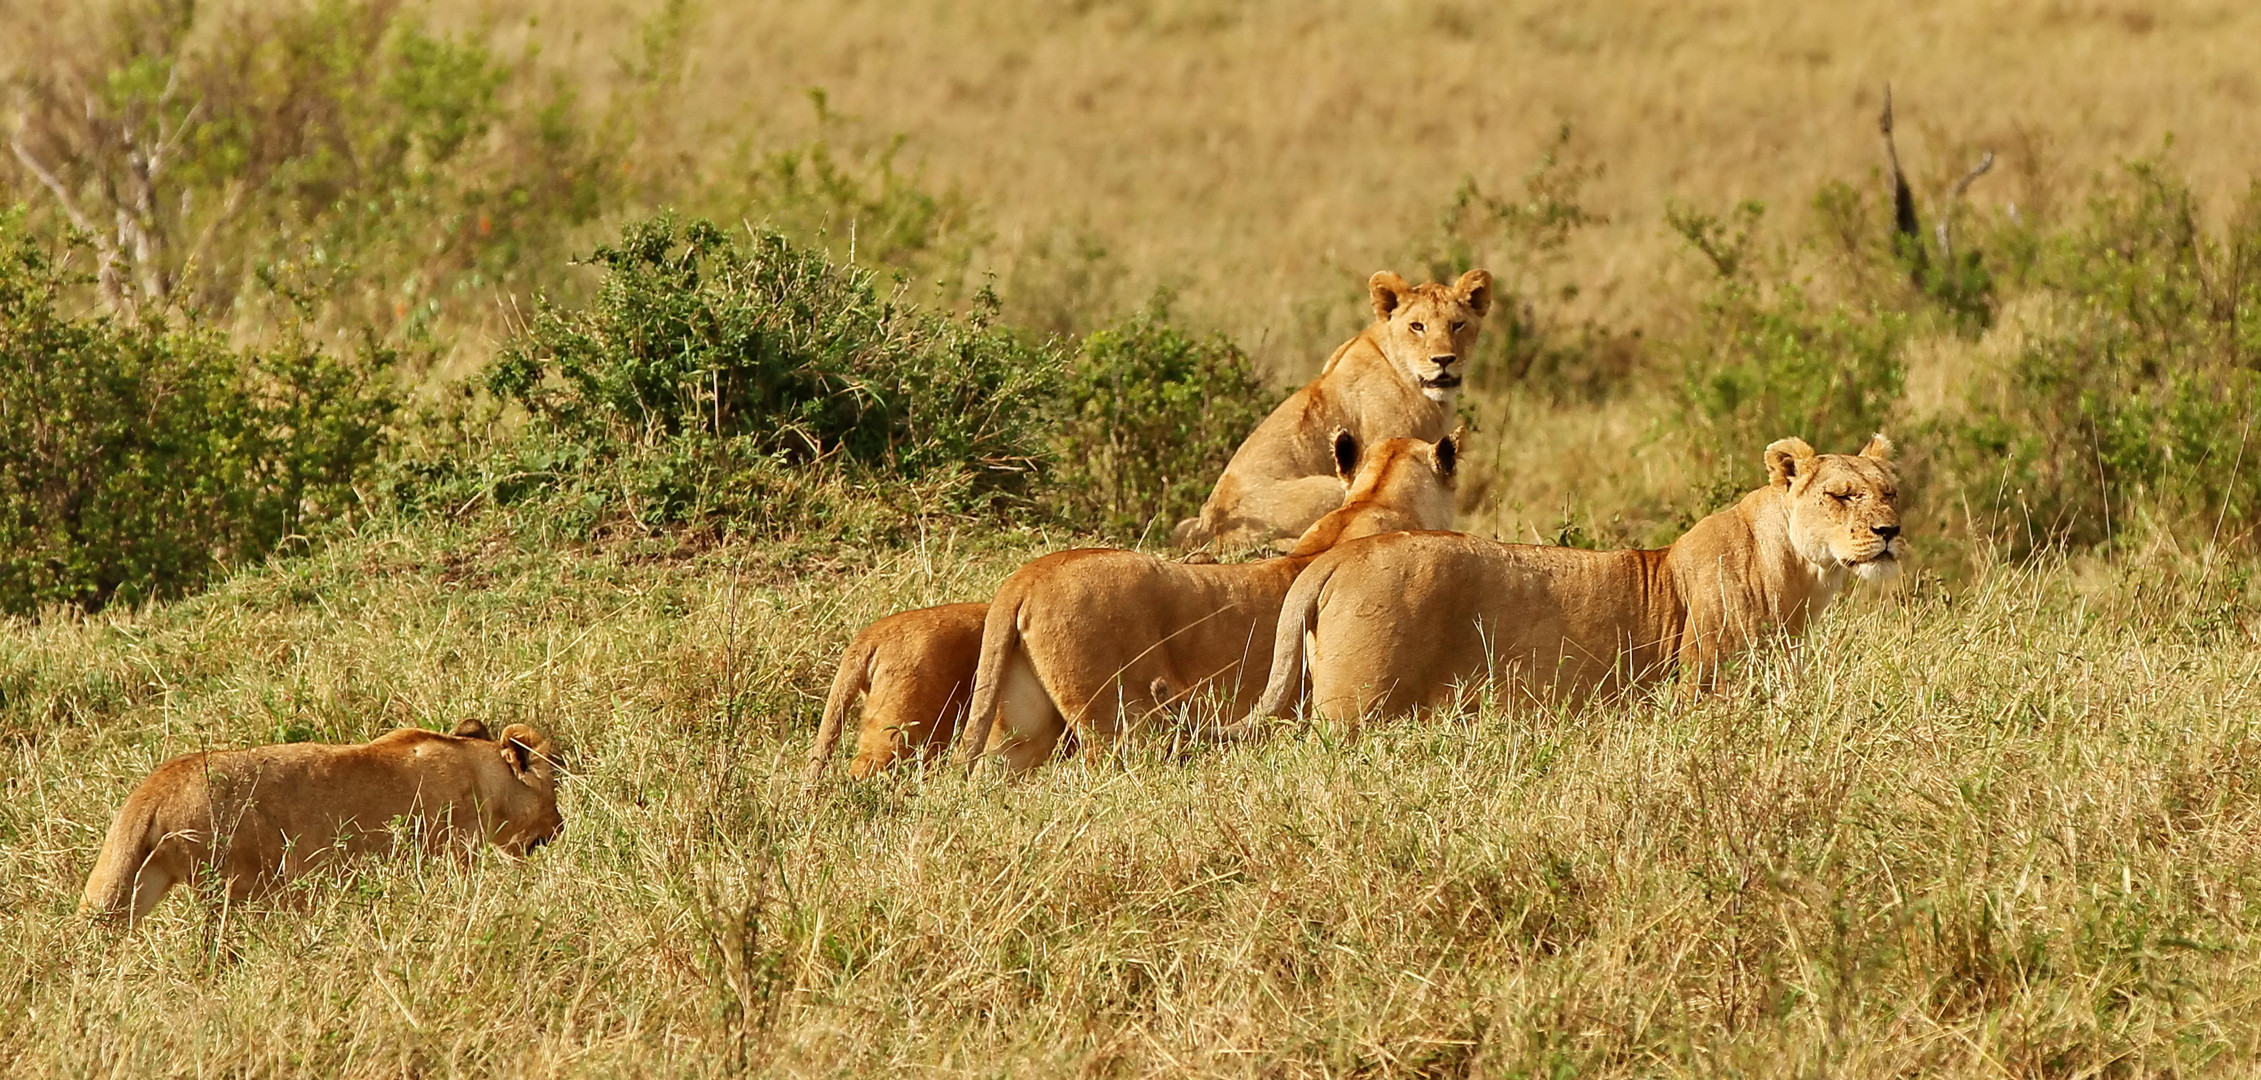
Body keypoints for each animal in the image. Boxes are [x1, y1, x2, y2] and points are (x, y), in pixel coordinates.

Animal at [87, 723, 565, 921]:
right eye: (554, 788)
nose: (559, 829)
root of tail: (155, 786)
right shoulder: (451, 853)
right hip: (249, 882)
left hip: (143, 882)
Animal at [1248, 431, 1899, 727]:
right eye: (1842, 495)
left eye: (1890, 491)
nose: (1890, 530)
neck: (1800, 576)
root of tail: (1333, 560)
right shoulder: (1702, 691)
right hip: (1354, 711)